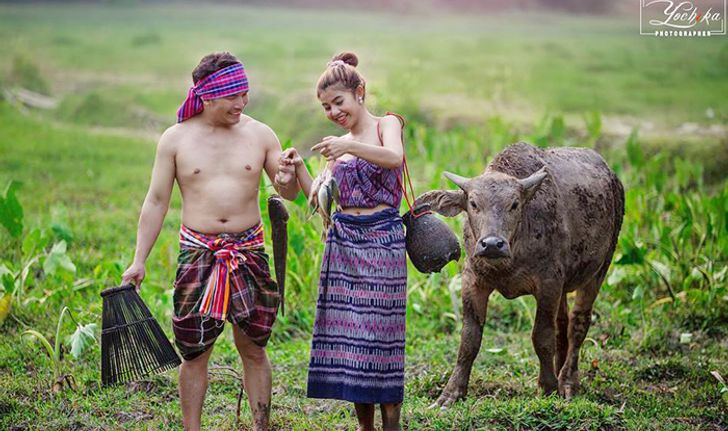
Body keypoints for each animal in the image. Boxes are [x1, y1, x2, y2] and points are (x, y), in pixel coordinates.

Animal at [418, 143, 624, 406]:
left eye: (514, 204)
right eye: (473, 203)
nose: (492, 244)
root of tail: (614, 180)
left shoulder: (548, 283)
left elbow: (541, 337)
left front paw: (548, 388)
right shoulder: (472, 281)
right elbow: (469, 340)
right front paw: (451, 394)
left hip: (600, 267)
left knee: (578, 324)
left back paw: (567, 382)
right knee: (562, 324)